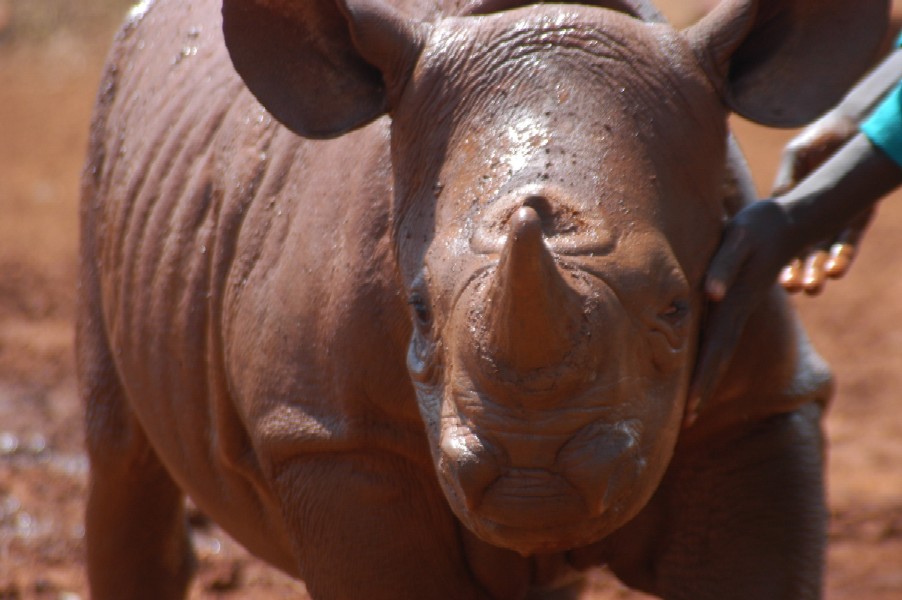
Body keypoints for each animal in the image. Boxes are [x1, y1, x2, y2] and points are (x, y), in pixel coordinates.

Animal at [79, 0, 888, 596]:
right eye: (417, 309)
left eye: (676, 310)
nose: (532, 464)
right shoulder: (330, 435)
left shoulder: (754, 404)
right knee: (121, 456)